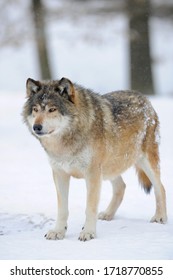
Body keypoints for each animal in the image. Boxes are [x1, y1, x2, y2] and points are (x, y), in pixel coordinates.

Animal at [22, 76, 167, 241]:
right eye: (35, 109)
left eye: (52, 109)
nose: (36, 127)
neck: (66, 143)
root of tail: (144, 97)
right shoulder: (60, 174)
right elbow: (62, 209)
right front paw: (58, 231)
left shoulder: (92, 174)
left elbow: (90, 208)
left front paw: (88, 232)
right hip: (108, 169)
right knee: (121, 187)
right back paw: (108, 214)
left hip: (144, 162)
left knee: (161, 188)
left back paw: (160, 217)